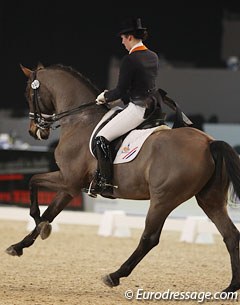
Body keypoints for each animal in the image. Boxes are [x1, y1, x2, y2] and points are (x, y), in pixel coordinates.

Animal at [5, 62, 240, 292]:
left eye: (28, 94)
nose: (35, 131)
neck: (79, 120)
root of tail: (209, 143)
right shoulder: (69, 187)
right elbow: (50, 212)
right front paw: (20, 245)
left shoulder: (69, 181)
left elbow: (33, 182)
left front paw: (39, 225)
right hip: (210, 200)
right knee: (230, 236)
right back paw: (230, 287)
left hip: (163, 199)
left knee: (149, 239)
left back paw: (114, 275)